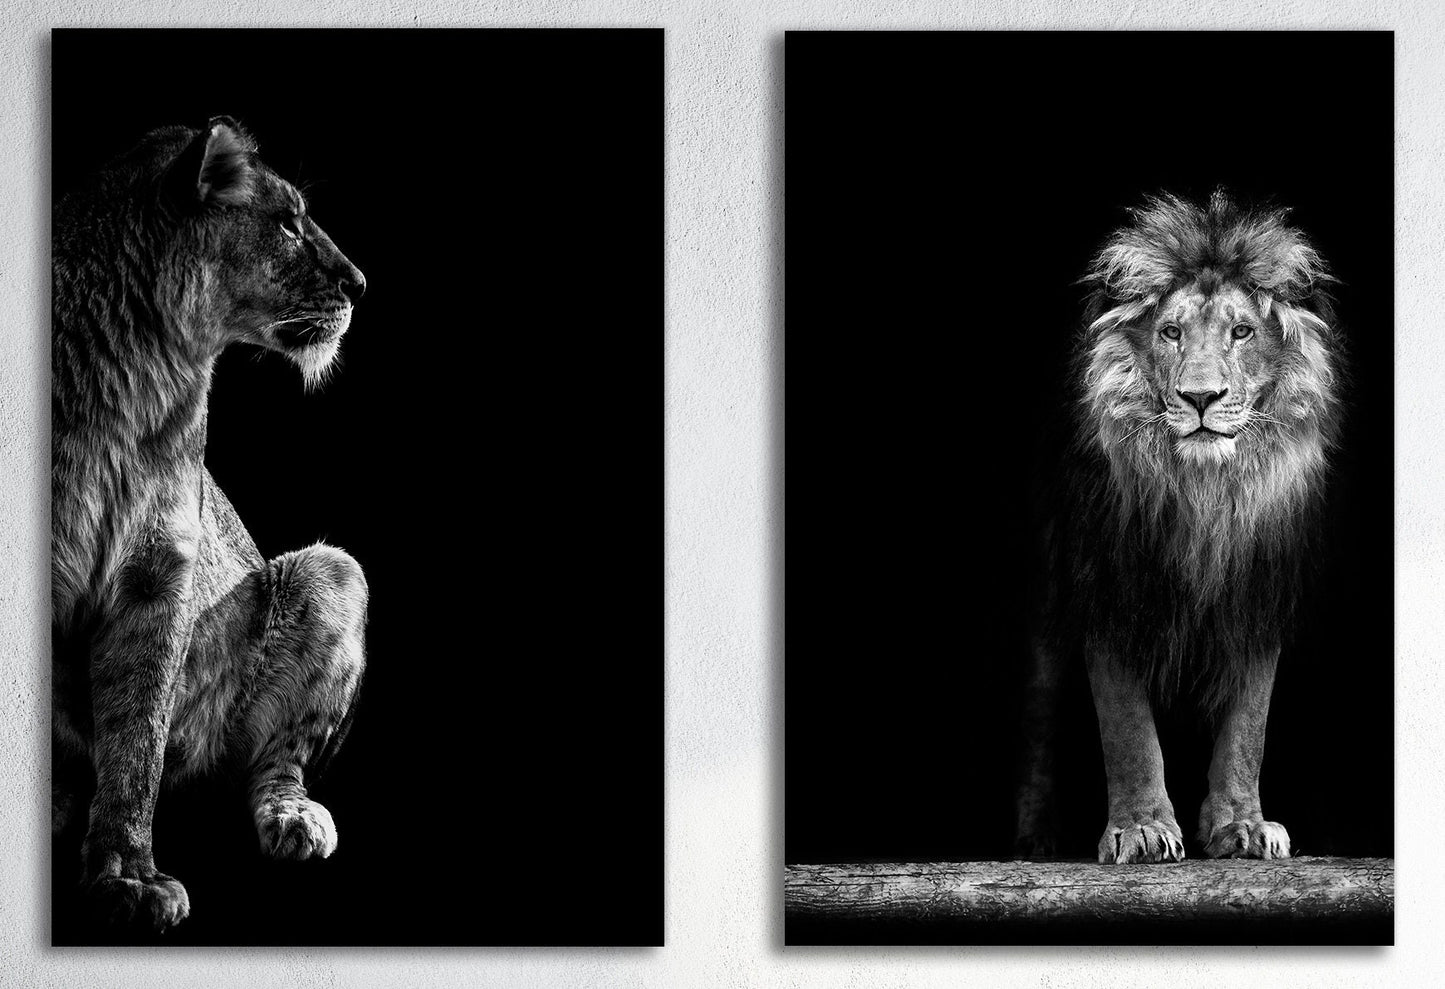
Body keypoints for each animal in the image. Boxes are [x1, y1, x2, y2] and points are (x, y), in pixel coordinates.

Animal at [52, 116, 368, 932]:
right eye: (287, 222)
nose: (360, 284)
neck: (142, 364)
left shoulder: (158, 572)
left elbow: (136, 740)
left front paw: (127, 874)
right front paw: (127, 876)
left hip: (333, 571)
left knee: (271, 763)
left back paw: (294, 818)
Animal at [1015, 190, 1344, 864]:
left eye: (1242, 331)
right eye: (1171, 333)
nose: (1199, 398)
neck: (1204, 496)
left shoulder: (1257, 594)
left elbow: (1248, 726)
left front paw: (1243, 826)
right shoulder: (1109, 586)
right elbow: (1127, 727)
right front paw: (1141, 829)